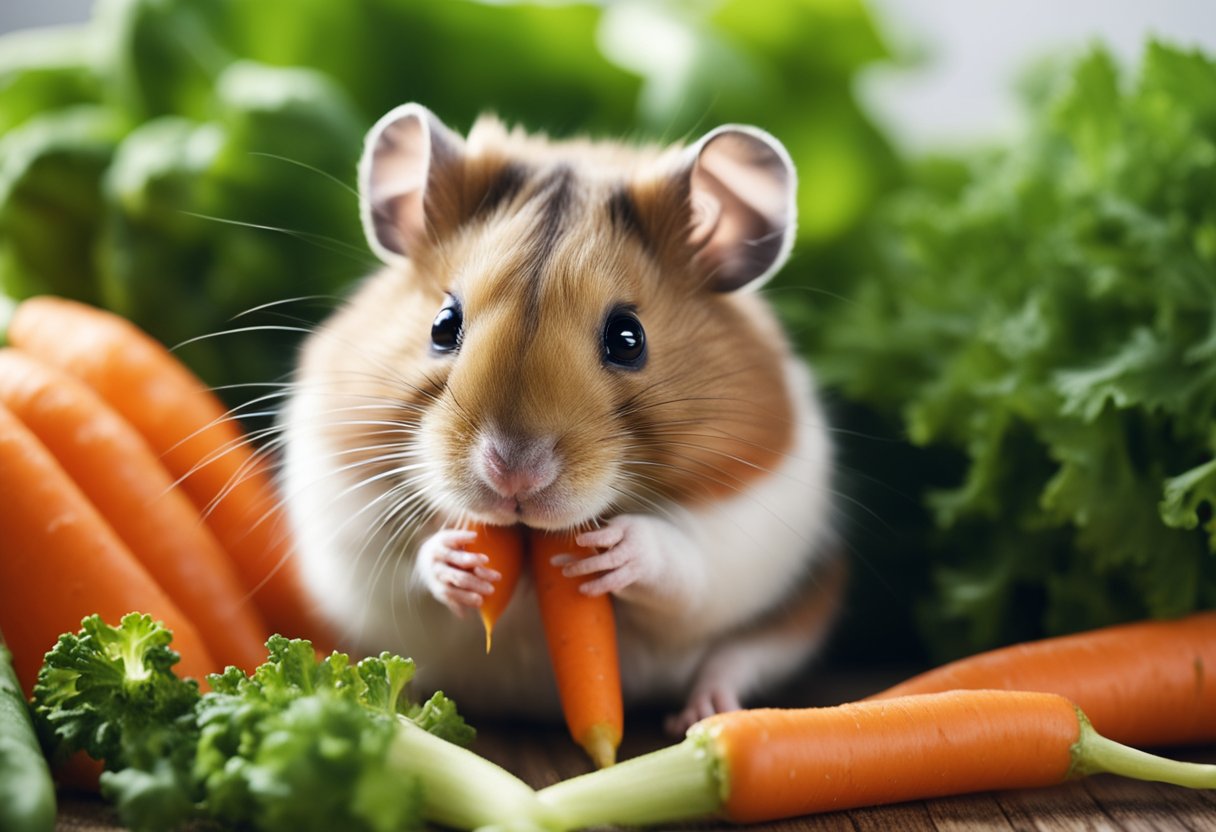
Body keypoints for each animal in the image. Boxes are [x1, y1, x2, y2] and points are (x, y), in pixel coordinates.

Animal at [278, 104, 841, 734]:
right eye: (443, 325)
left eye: (628, 339)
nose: (512, 474)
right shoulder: (349, 516)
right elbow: (407, 564)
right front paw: (458, 561)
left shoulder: (745, 527)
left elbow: (682, 561)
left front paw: (610, 551)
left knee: (734, 658)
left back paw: (700, 716)